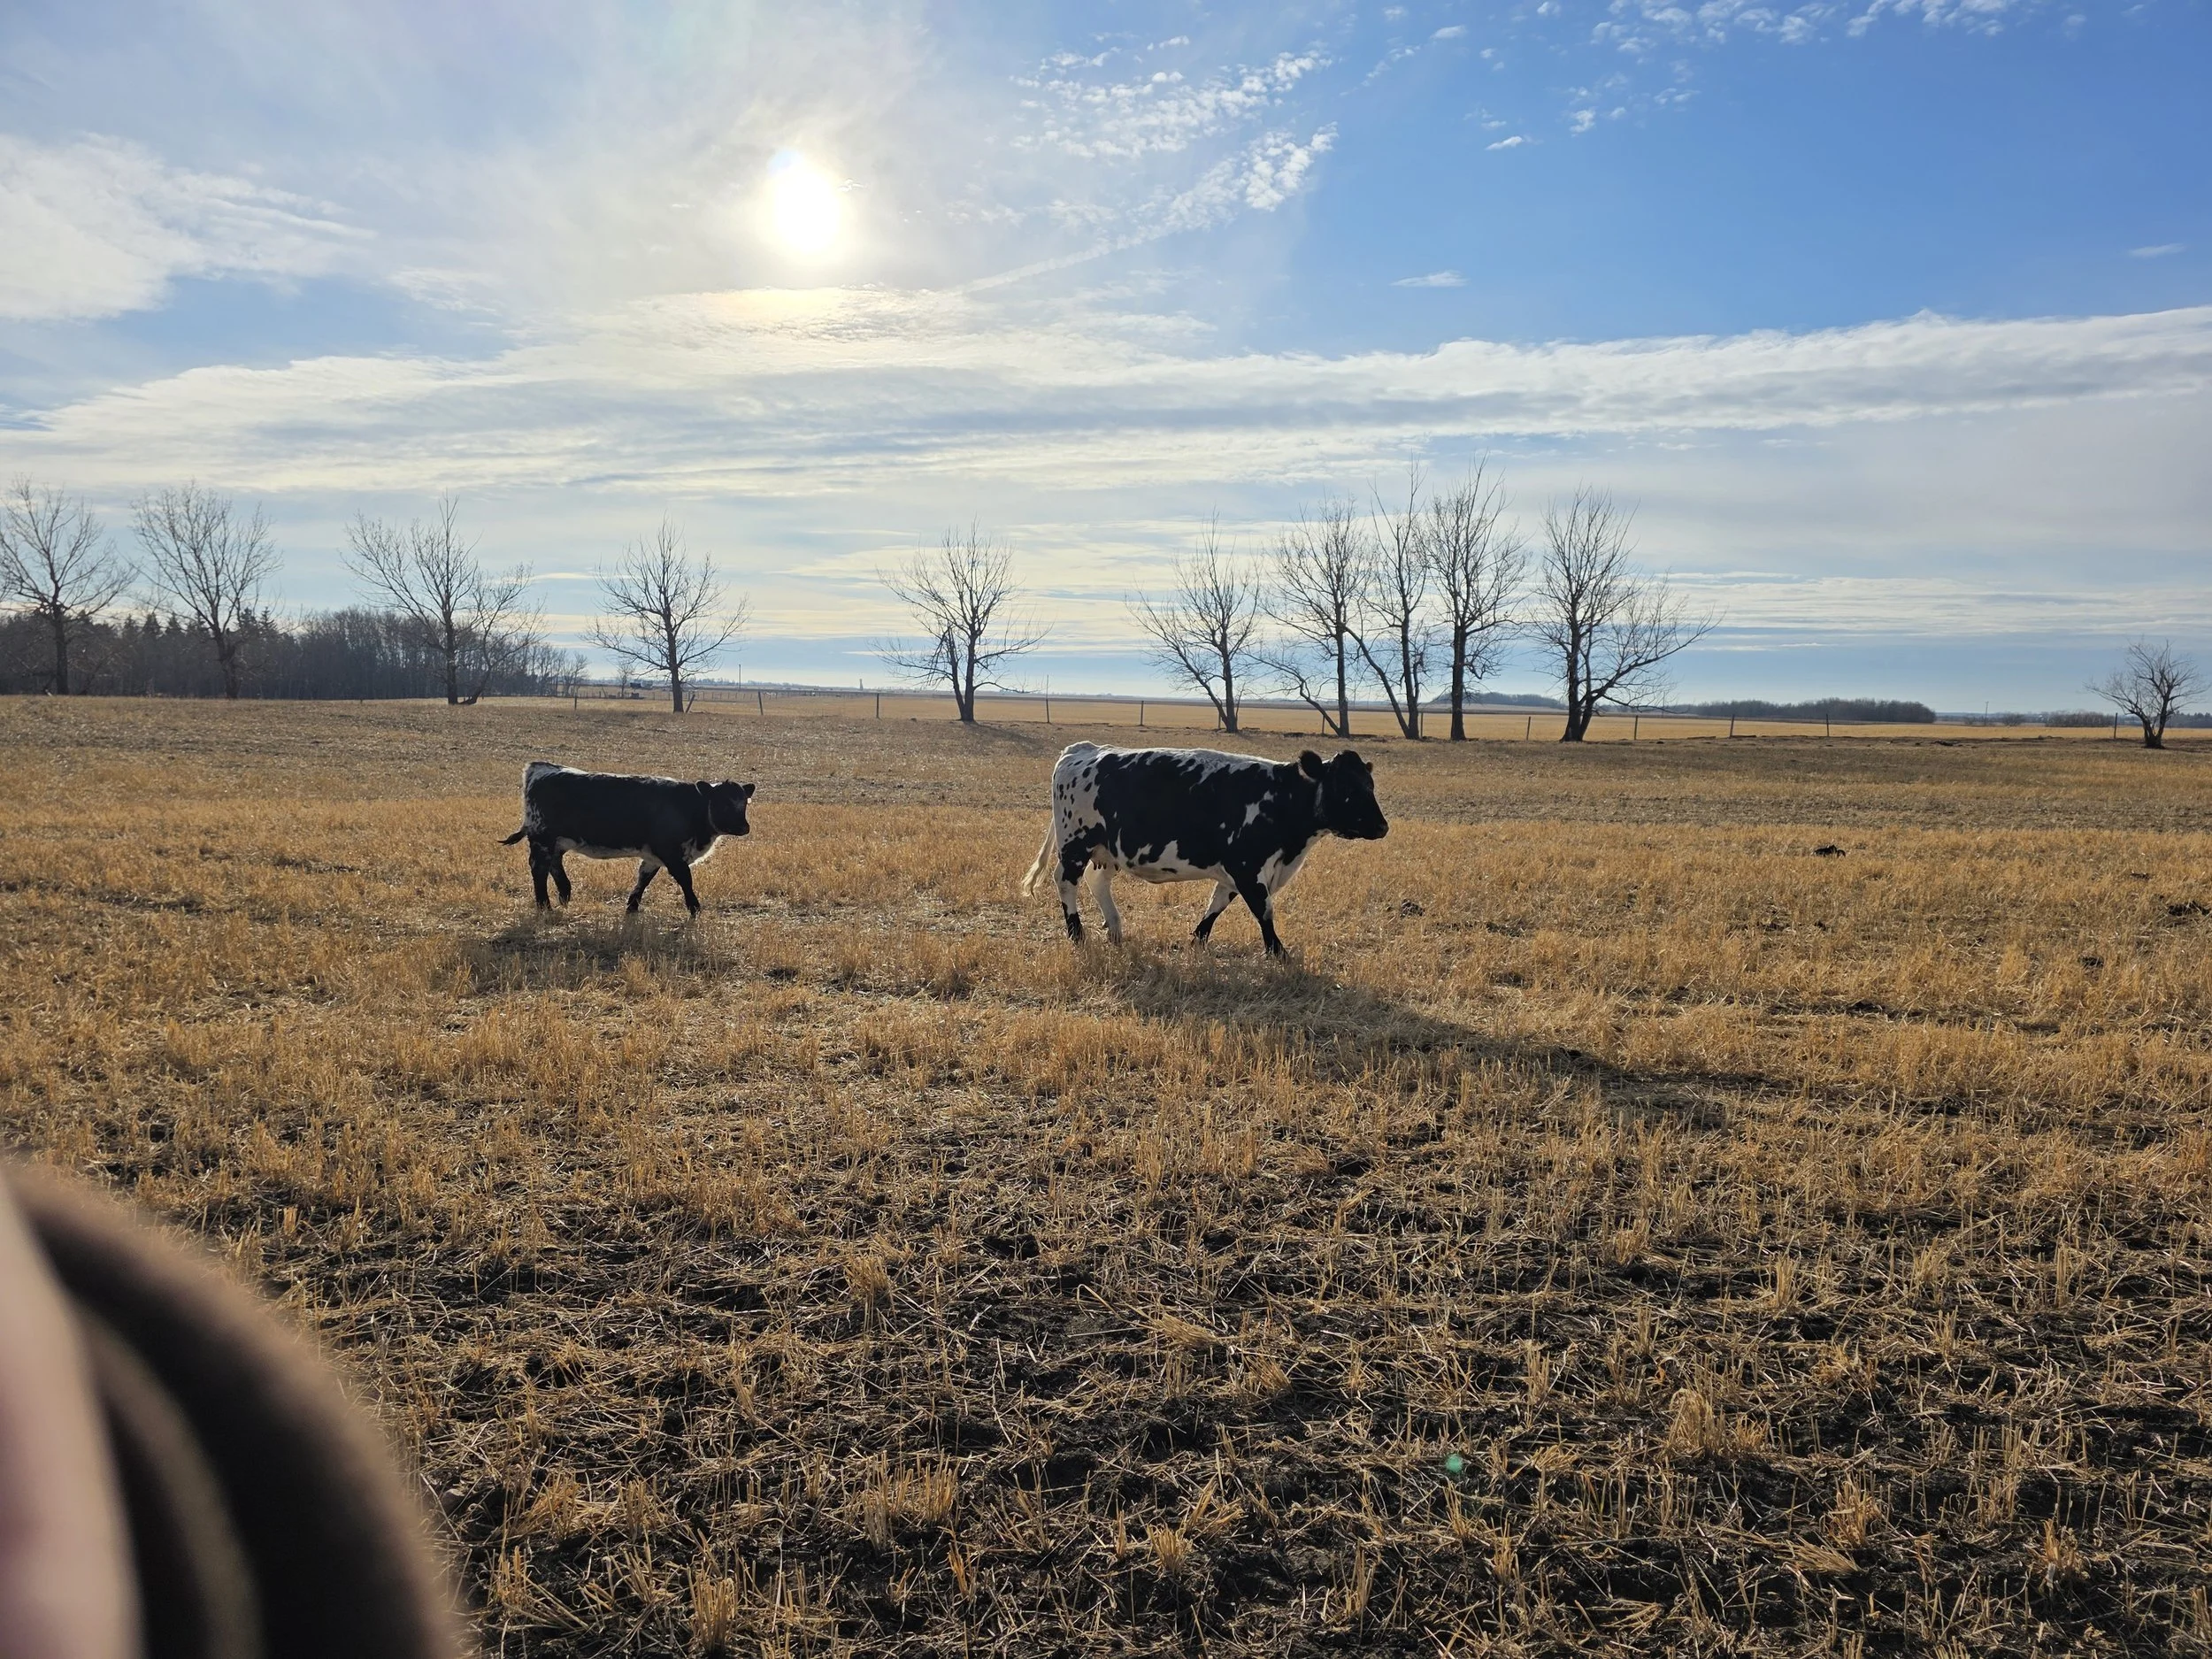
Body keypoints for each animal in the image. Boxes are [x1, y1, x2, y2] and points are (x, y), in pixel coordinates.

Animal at [500, 761, 755, 916]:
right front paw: (695, 908)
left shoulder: (654, 855)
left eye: (744, 803)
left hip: (556, 842)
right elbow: (686, 879)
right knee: (539, 870)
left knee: (554, 865)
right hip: (542, 839)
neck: (690, 807)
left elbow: (644, 878)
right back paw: (545, 906)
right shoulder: (670, 853)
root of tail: (541, 768)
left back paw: (564, 896)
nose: (744, 828)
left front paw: (632, 907)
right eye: (723, 803)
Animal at [1020, 743, 1388, 956]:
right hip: (1075, 843)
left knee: (1097, 883)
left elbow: (1218, 904)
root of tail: (1082, 749)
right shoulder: (1247, 867)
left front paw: (1197, 940)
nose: (1383, 827)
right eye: (1346, 788)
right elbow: (1264, 911)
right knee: (1066, 882)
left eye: (1369, 785)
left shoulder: (1237, 872)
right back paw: (1076, 932)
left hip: (1107, 850)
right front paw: (1278, 953)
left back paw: (1115, 929)